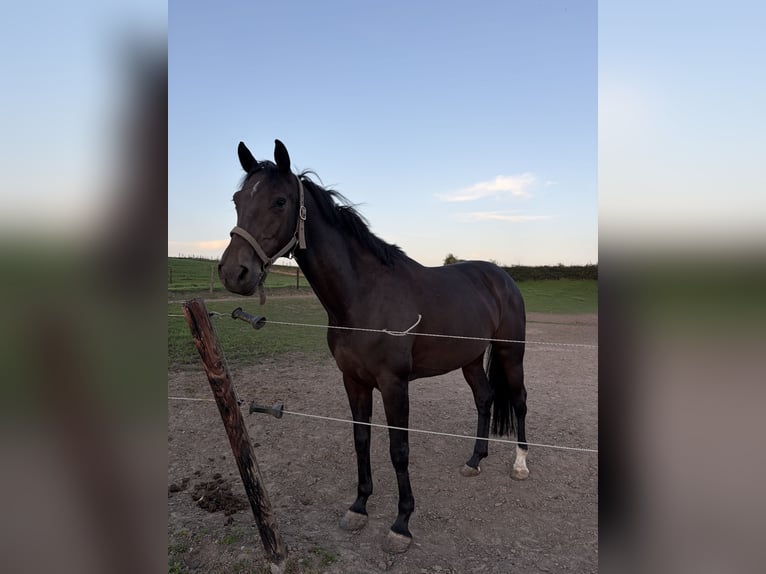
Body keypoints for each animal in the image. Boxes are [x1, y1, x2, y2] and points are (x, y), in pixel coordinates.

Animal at [218, 140, 529, 553]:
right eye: (237, 199)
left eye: (280, 201)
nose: (233, 272)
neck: (363, 296)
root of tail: (500, 276)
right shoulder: (354, 381)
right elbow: (361, 440)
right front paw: (359, 507)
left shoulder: (394, 385)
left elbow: (399, 450)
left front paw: (401, 524)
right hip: (472, 358)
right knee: (485, 398)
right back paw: (475, 460)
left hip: (511, 352)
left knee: (520, 400)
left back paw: (520, 465)